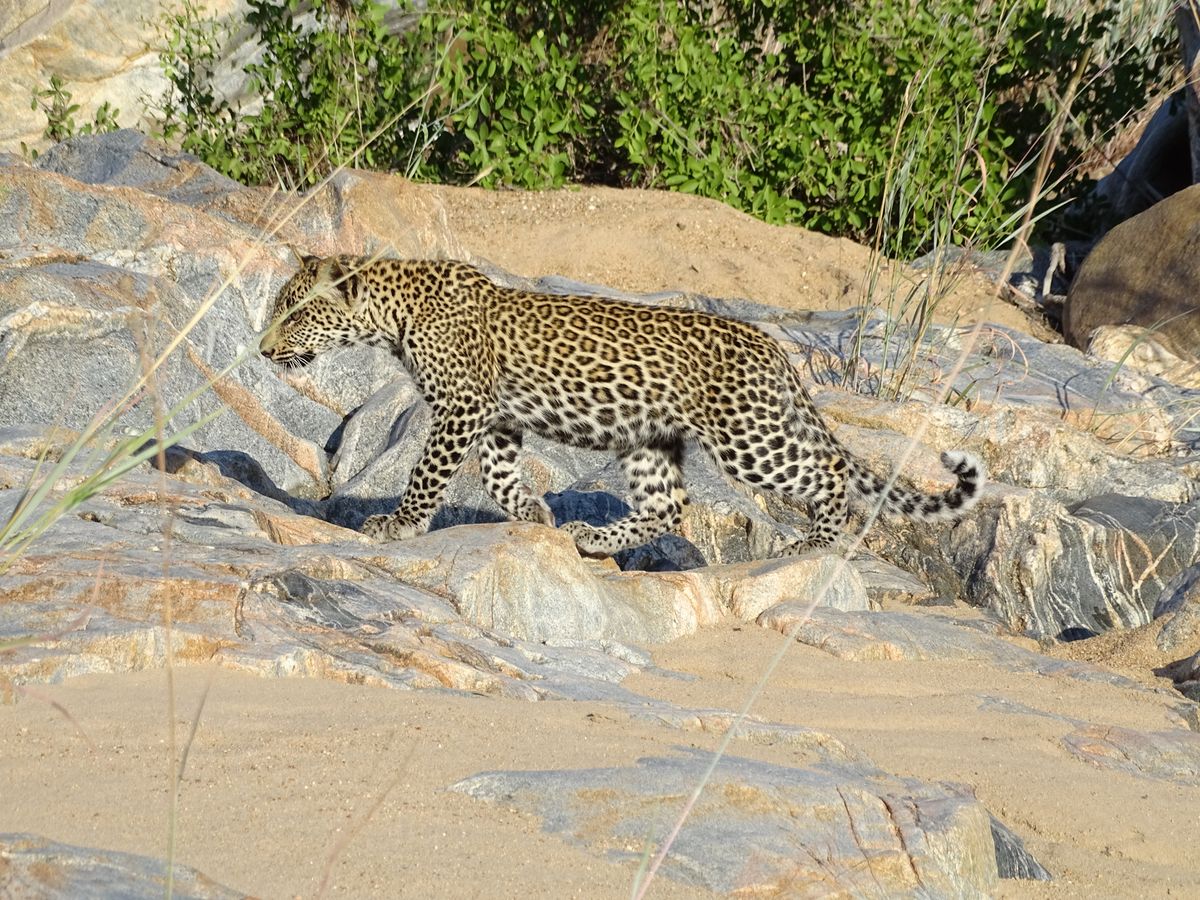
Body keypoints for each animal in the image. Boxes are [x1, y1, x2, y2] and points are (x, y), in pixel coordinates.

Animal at [259, 253, 983, 558]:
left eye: (295, 313)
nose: (264, 350)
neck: (394, 313)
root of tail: (770, 345)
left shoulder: (463, 406)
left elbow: (428, 472)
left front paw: (400, 524)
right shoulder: (497, 418)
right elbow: (498, 478)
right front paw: (539, 516)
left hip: (745, 437)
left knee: (827, 474)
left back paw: (816, 541)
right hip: (652, 440)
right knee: (669, 506)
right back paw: (595, 538)